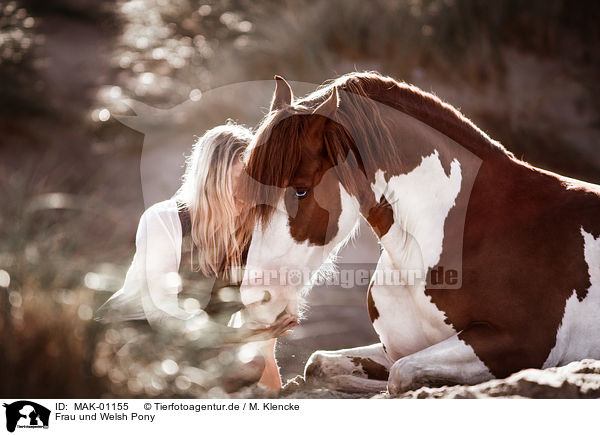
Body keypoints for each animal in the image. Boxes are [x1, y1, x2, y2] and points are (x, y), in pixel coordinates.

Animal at [239, 72, 600, 396]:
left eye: (300, 190)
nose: (256, 294)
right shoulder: (394, 347)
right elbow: (318, 364)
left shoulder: (522, 343)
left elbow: (399, 376)